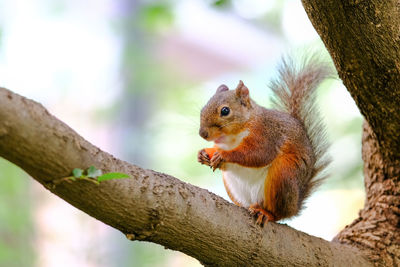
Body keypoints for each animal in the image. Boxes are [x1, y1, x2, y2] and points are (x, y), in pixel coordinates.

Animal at [197, 56, 332, 226]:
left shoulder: (267, 135)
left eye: (225, 111)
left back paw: (266, 213)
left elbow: (258, 154)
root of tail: (295, 206)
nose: (202, 134)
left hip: (283, 176)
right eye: (202, 109)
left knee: (279, 214)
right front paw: (203, 153)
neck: (233, 136)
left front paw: (223, 155)